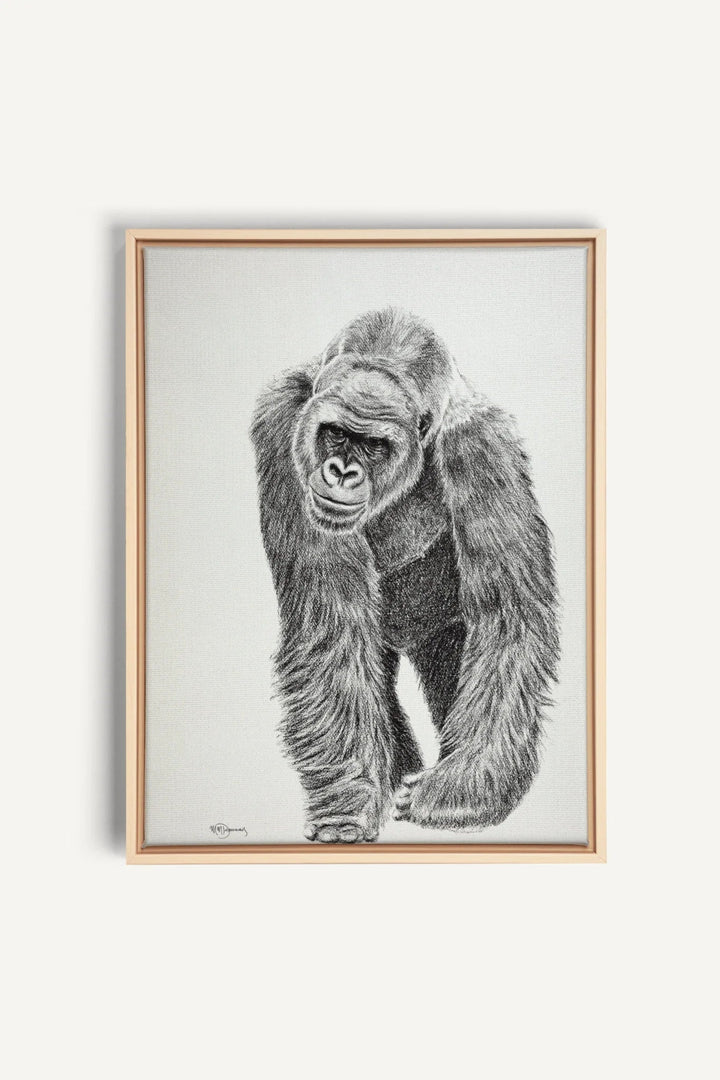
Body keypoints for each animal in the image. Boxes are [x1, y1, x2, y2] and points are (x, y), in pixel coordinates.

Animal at [251, 308, 559, 842]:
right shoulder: (282, 422)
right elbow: (333, 630)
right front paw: (347, 803)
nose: (341, 472)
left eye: (374, 444)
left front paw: (461, 792)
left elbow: (507, 618)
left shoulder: (482, 447)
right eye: (337, 433)